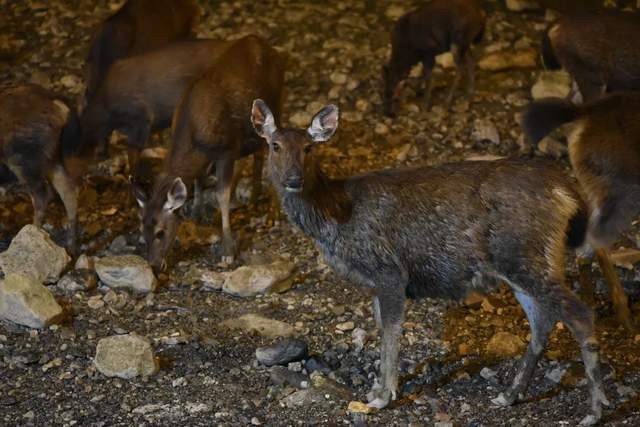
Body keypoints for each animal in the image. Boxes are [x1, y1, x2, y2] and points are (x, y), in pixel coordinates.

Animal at [0, 85, 82, 256]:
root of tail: (59, 106)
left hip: (25, 161)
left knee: (42, 195)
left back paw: (32, 234)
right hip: (52, 158)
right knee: (68, 191)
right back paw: (71, 246)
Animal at [250, 99, 608, 424]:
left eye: (309, 147)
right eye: (275, 145)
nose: (293, 179)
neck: (334, 217)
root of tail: (566, 192)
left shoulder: (389, 270)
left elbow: (391, 331)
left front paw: (381, 397)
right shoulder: (376, 284)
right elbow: (381, 327)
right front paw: (376, 389)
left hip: (526, 254)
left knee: (579, 314)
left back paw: (594, 410)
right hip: (525, 262)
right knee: (543, 323)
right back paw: (509, 394)